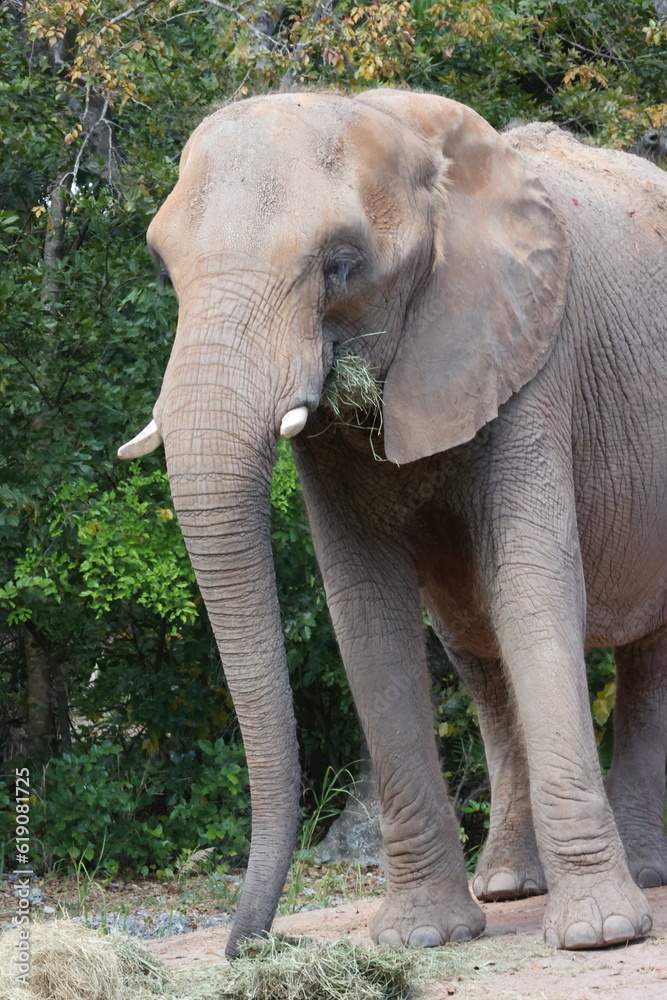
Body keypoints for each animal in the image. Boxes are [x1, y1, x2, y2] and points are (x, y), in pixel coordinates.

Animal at [119, 89, 667, 956]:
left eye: (339, 264)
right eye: (161, 267)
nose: (251, 946)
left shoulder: (528, 352)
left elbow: (531, 583)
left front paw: (600, 934)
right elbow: (365, 612)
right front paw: (418, 939)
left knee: (646, 658)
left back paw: (639, 879)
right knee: (473, 650)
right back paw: (507, 886)